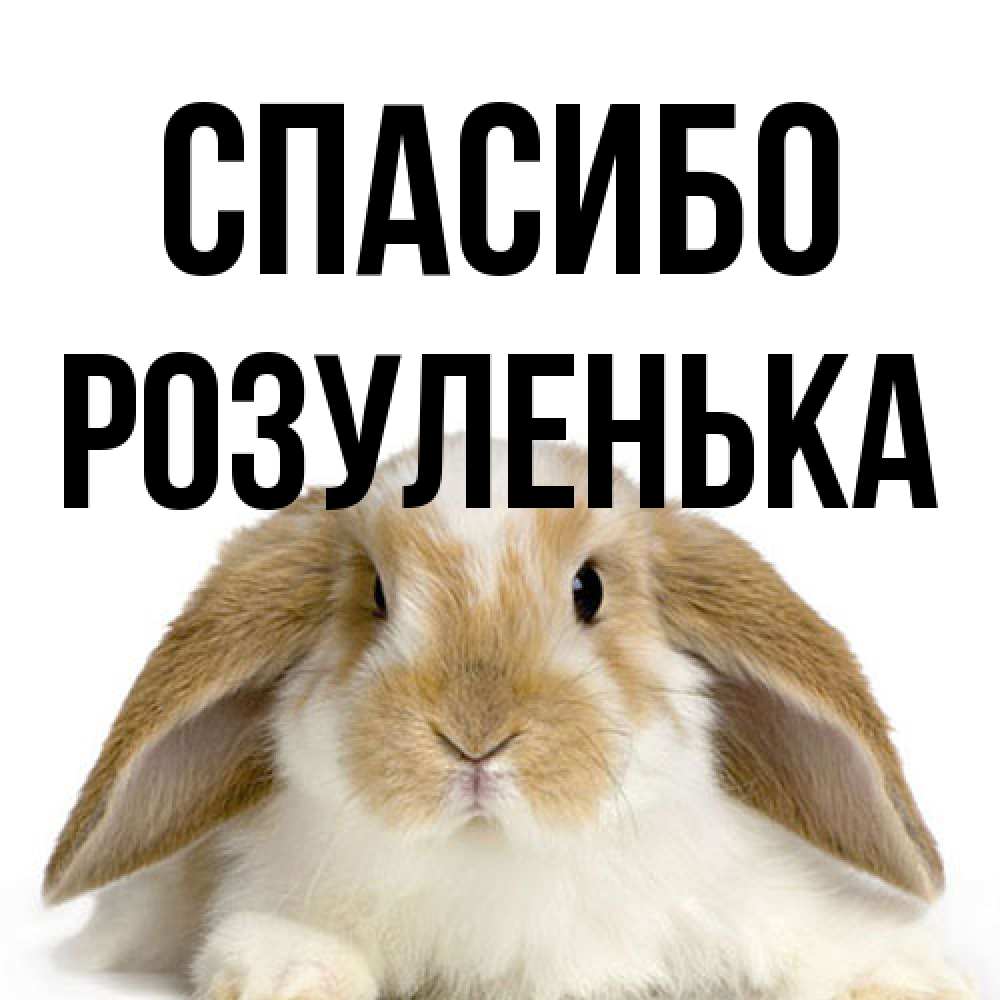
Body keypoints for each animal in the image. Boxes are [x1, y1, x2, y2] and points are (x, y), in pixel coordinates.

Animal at [45, 437, 975, 1000]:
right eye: (376, 596)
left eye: (589, 589)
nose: (475, 737)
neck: (495, 857)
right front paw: (290, 977)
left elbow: (817, 939)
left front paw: (909, 978)